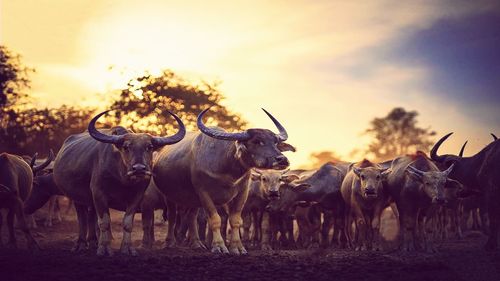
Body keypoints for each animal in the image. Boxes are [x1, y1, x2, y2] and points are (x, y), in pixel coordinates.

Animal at [52, 110, 186, 256]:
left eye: (149, 147)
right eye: (126, 147)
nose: (139, 169)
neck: (122, 180)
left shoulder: (136, 197)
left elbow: (127, 223)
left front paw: (126, 249)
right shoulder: (99, 194)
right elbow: (104, 222)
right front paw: (104, 249)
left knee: (91, 217)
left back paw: (93, 243)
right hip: (77, 198)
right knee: (82, 219)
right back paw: (81, 244)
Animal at [152, 107, 292, 254]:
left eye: (275, 142)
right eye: (257, 141)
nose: (282, 159)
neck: (226, 169)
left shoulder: (242, 193)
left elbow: (235, 220)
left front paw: (237, 247)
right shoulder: (204, 193)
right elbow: (215, 220)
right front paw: (219, 246)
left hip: (193, 199)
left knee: (191, 216)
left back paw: (196, 243)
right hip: (169, 196)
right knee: (172, 217)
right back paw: (170, 243)